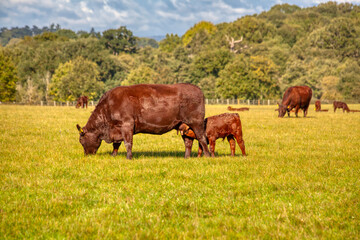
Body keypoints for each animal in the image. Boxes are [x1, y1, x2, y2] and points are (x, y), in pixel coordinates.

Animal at [76, 83, 211, 160]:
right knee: (188, 142)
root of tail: (197, 89)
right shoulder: (117, 129)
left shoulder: (127, 125)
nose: (87, 155)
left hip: (196, 123)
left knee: (202, 138)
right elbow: (116, 144)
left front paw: (129, 158)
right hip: (183, 125)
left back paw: (208, 156)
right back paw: (186, 158)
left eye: (81, 140)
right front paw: (113, 155)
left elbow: (128, 143)